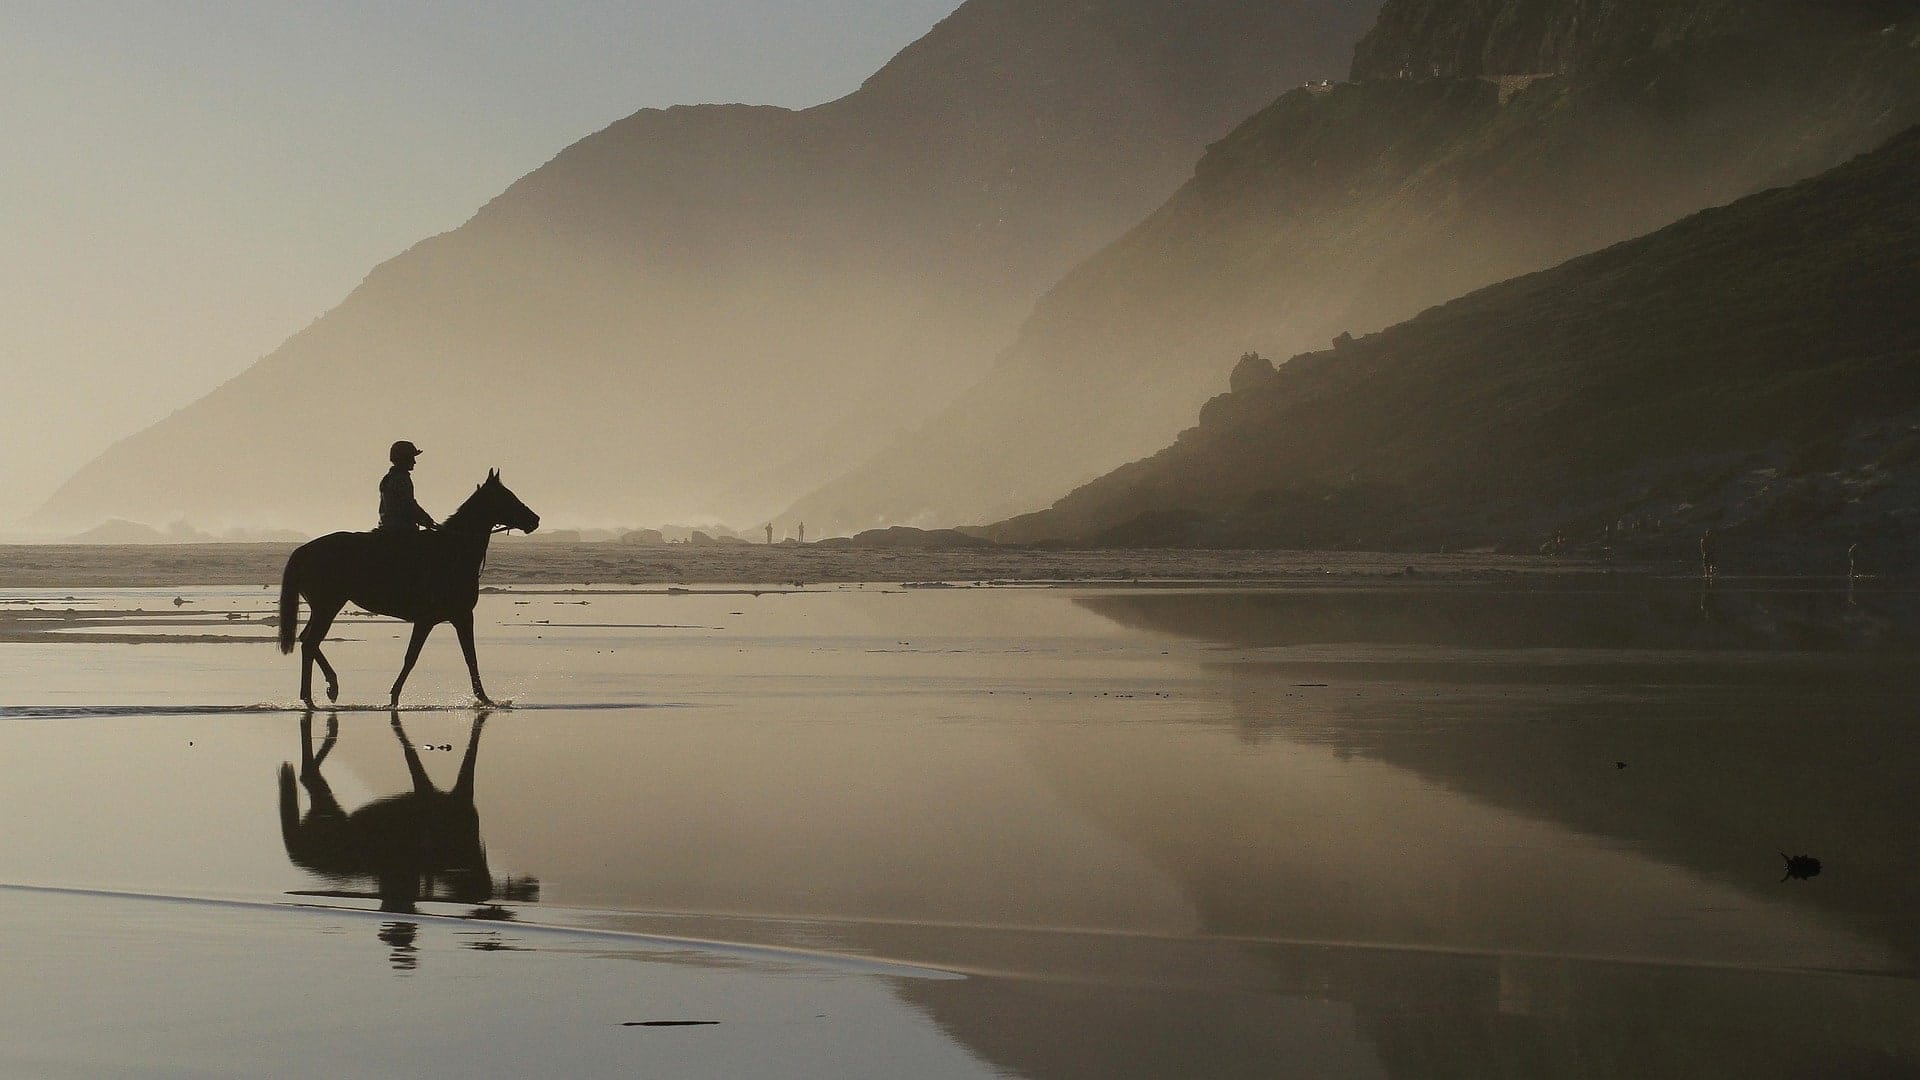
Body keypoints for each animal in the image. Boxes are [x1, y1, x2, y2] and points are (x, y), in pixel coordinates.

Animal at [278, 469, 539, 708]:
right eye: (507, 496)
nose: (535, 520)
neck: (454, 550)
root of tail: (303, 551)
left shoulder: (453, 618)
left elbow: (463, 657)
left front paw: (484, 698)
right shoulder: (447, 617)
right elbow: (423, 658)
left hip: (323, 608)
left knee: (307, 641)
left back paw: (320, 692)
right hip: (328, 606)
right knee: (311, 643)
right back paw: (320, 693)